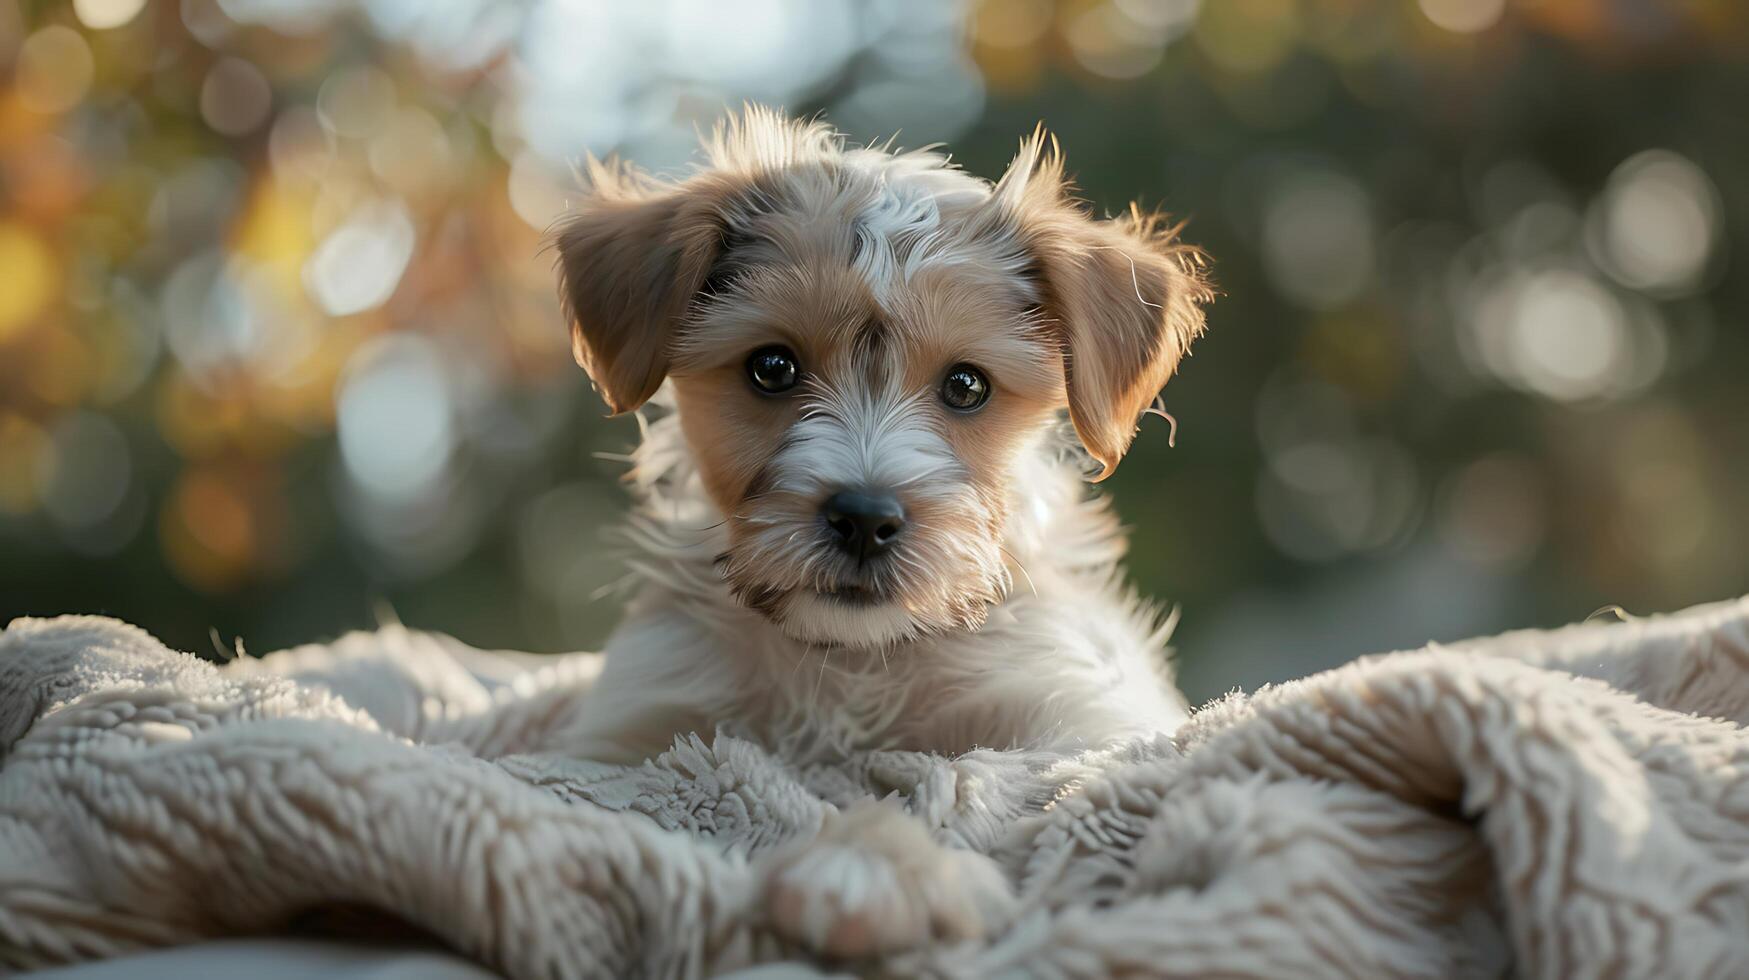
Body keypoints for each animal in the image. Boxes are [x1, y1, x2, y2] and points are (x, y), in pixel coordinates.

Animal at [552, 108, 1210, 959]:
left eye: (965, 385)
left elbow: (962, 780)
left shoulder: (1081, 730)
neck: (851, 664)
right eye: (771, 368)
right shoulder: (633, 735)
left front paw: (873, 867)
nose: (864, 518)